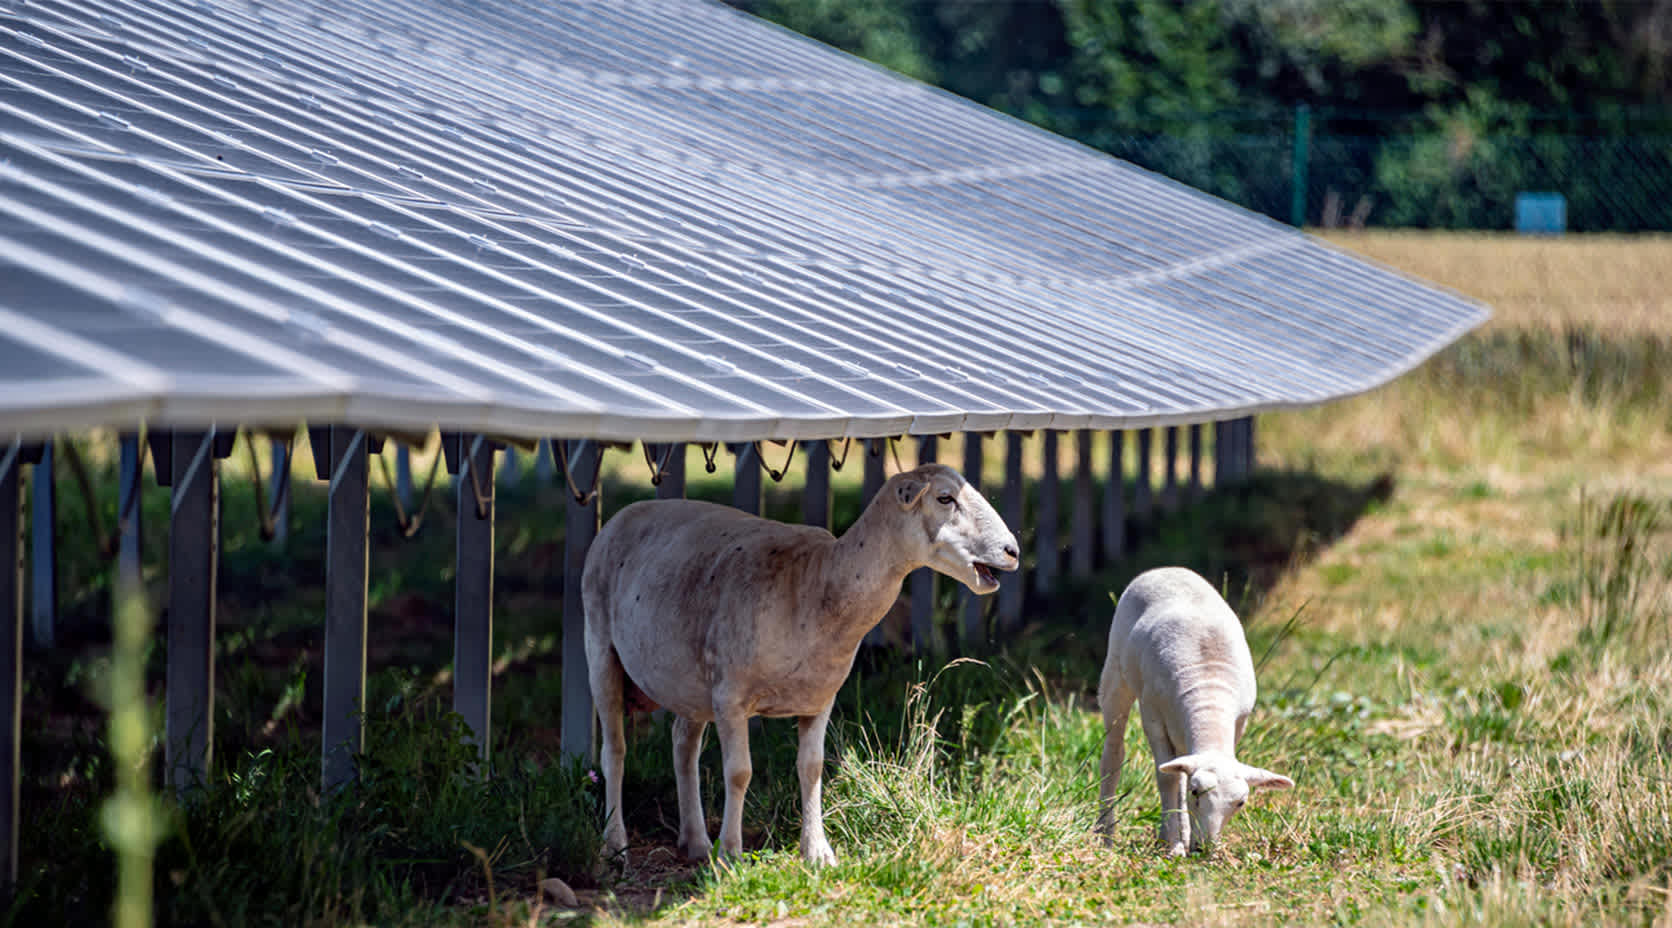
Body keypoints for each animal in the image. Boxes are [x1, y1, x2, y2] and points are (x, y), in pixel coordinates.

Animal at [575, 461, 1016, 869]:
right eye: (945, 498)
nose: (1012, 551)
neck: (818, 582)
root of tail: (625, 513)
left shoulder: (819, 699)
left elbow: (812, 768)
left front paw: (817, 851)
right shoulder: (731, 697)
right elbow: (739, 772)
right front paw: (730, 854)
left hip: (691, 683)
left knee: (683, 745)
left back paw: (696, 842)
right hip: (600, 648)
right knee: (615, 751)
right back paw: (615, 844)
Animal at [1096, 568, 1290, 862]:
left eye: (1240, 803)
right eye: (1197, 792)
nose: (1205, 850)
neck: (1210, 694)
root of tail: (1166, 569)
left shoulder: (1239, 722)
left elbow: (1179, 778)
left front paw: (1179, 839)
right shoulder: (1152, 713)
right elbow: (1168, 779)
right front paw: (1175, 846)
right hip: (1116, 671)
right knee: (1114, 753)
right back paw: (1105, 834)